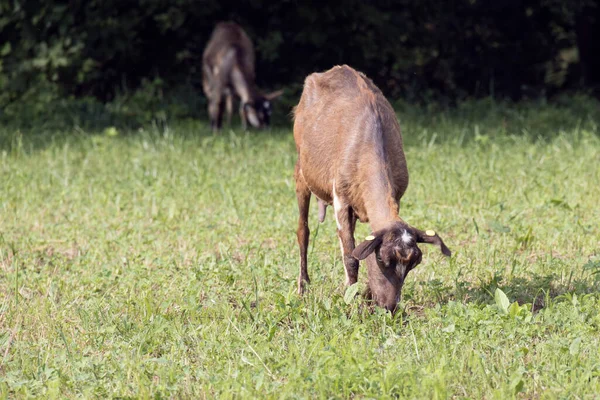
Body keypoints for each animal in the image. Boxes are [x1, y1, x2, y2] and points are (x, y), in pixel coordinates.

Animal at [292, 64, 452, 312]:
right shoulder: (341, 197)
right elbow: (350, 255)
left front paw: (365, 294)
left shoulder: (396, 195)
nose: (389, 306)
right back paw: (303, 287)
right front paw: (351, 301)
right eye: (382, 259)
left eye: (414, 263)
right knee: (303, 230)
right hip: (301, 168)